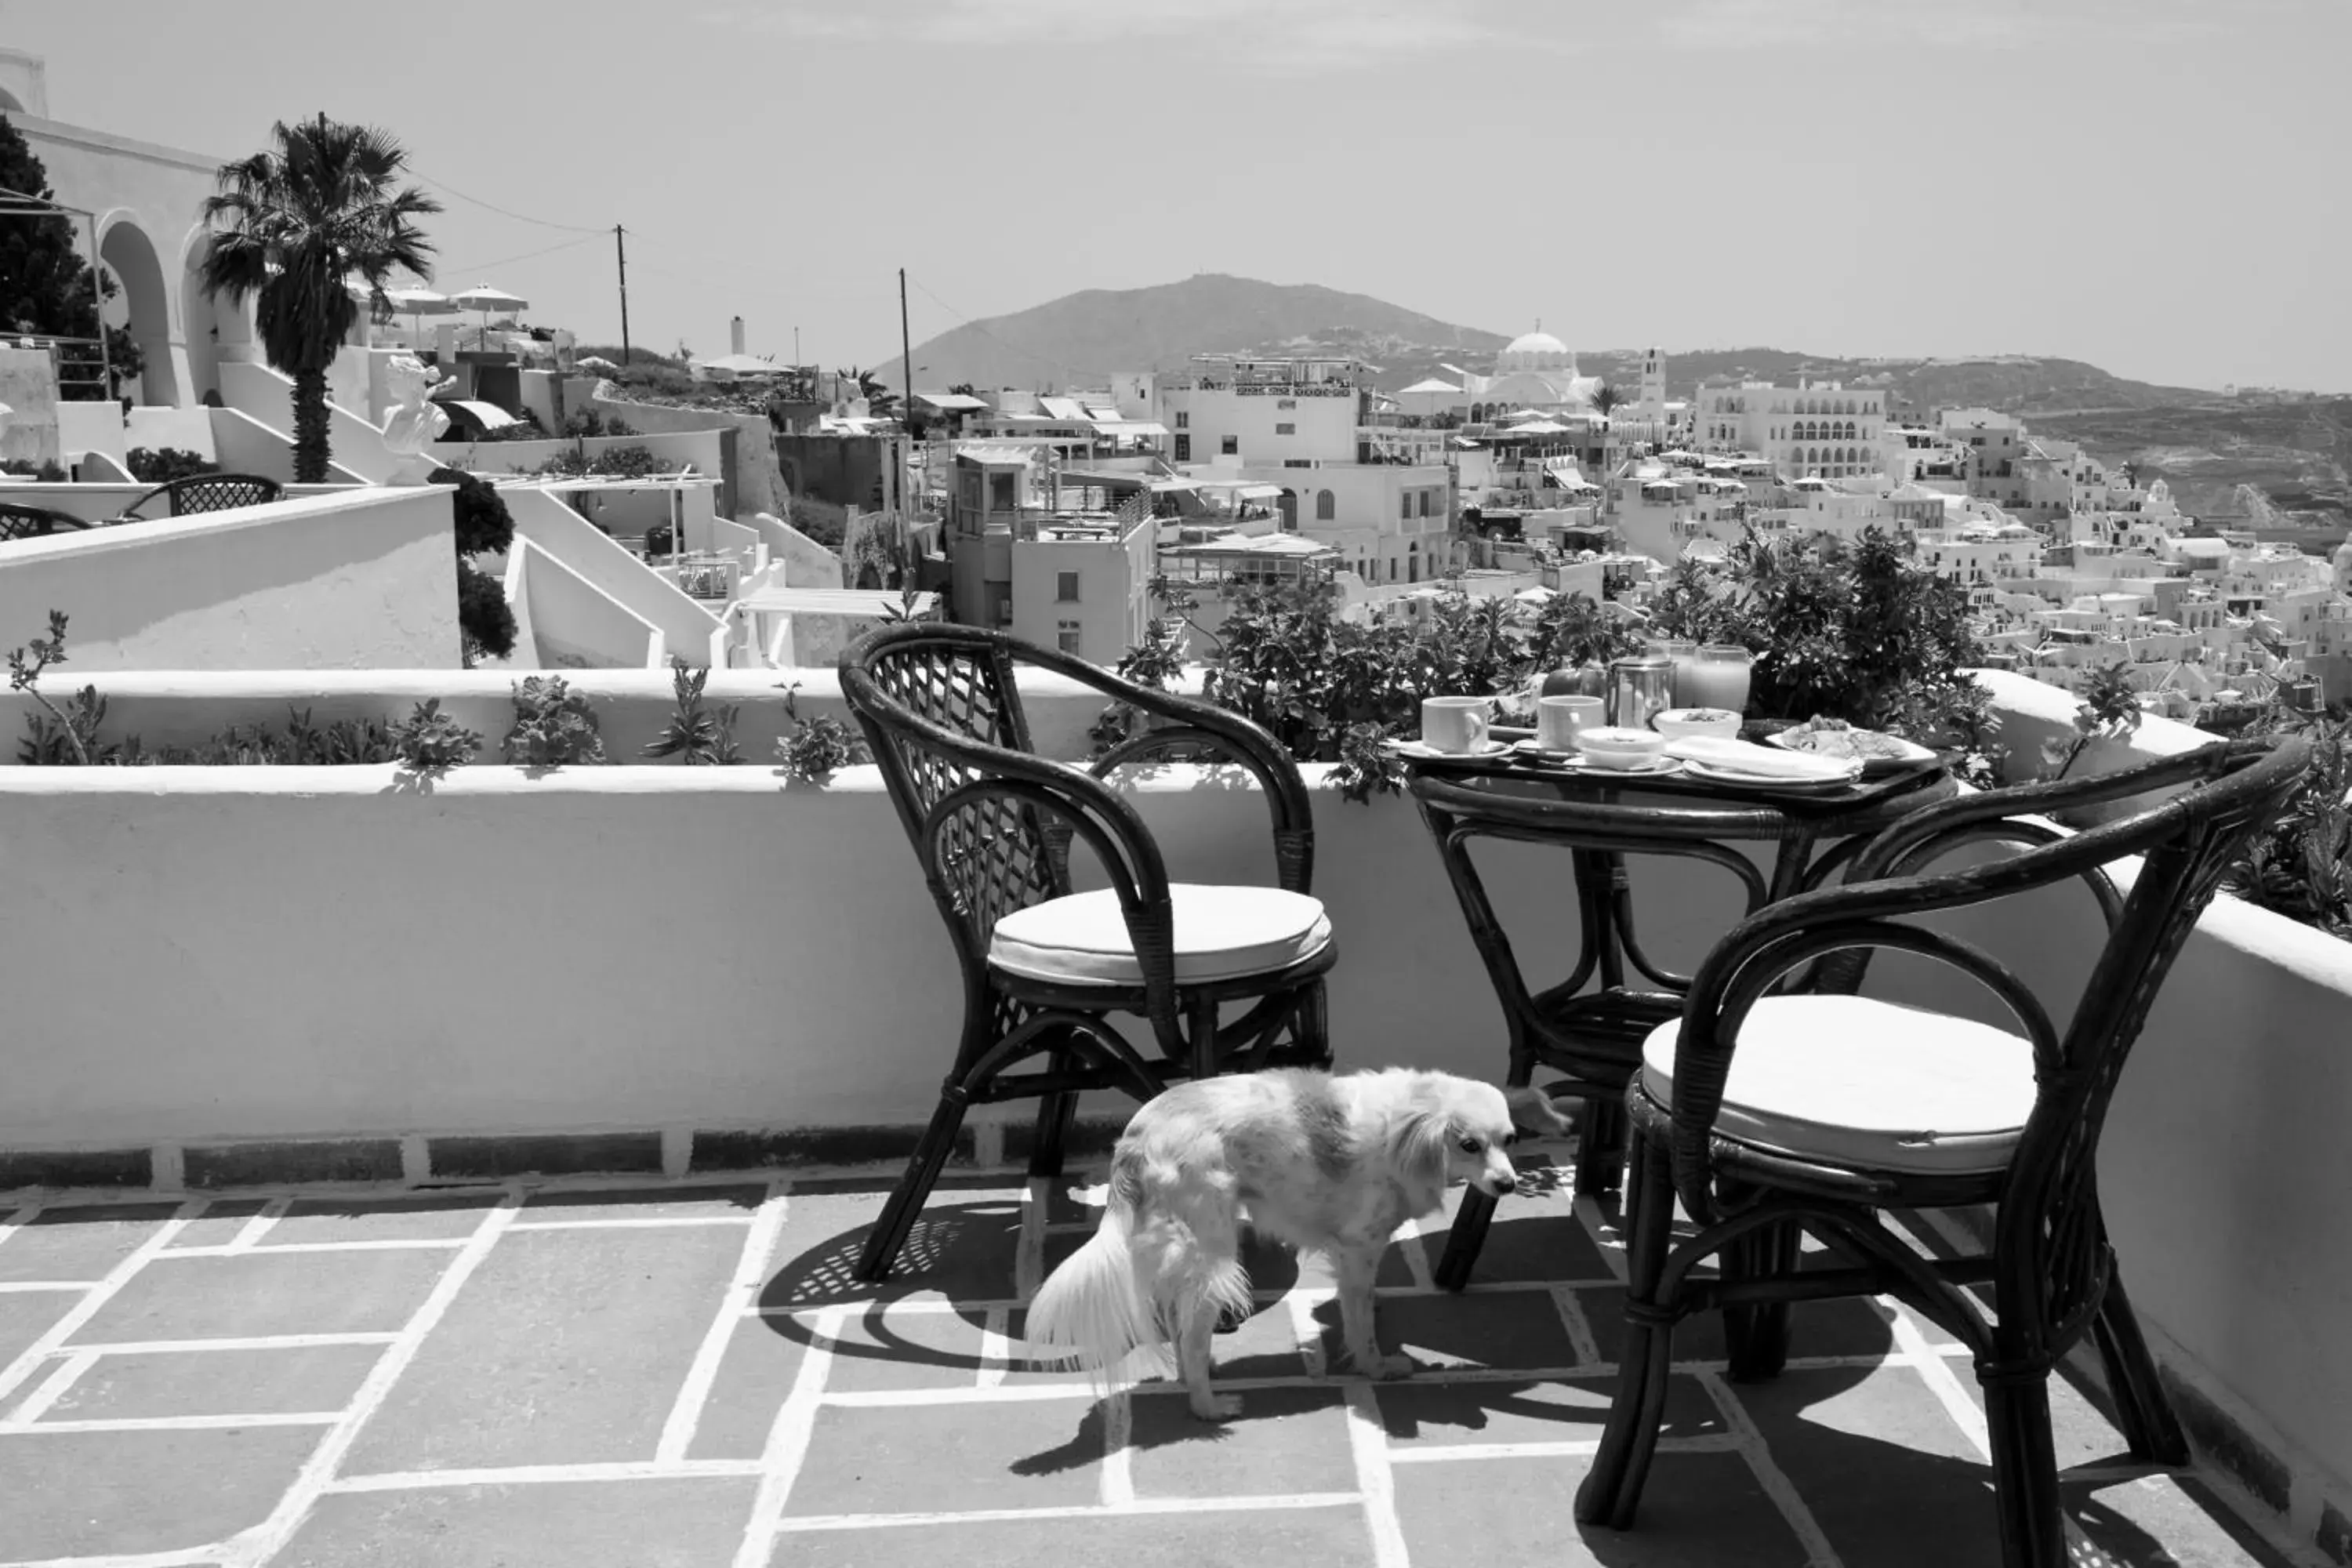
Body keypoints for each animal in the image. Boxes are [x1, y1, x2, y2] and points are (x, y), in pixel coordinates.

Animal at [1025, 1067, 1562, 1420]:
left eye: (1511, 1140)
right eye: (1468, 1145)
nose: (1509, 1185)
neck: (1409, 1129)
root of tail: (1135, 1141)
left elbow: (1360, 1306)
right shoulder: (1358, 1249)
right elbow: (1361, 1322)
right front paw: (1376, 1367)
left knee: (1179, 1328)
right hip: (1212, 1258)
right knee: (1191, 1336)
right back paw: (1208, 1405)